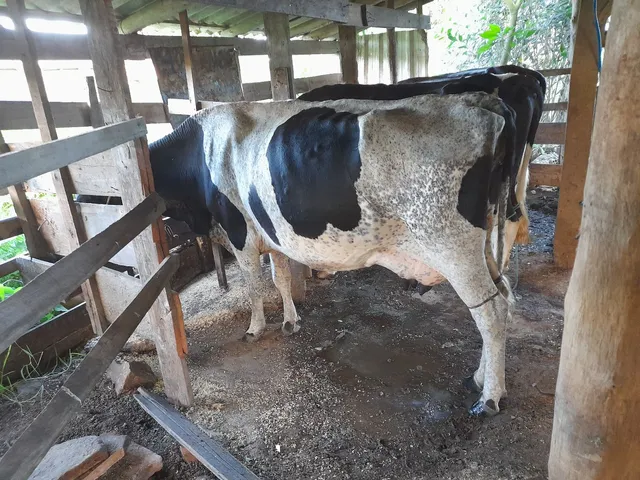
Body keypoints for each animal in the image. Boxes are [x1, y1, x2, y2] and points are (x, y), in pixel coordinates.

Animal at [148, 92, 519, 416]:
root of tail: (479, 99)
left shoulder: (239, 233)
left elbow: (254, 287)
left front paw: (255, 328)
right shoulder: (273, 235)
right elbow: (280, 279)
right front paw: (291, 321)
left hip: (451, 246)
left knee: (491, 311)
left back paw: (489, 398)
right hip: (485, 244)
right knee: (504, 297)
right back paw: (479, 379)